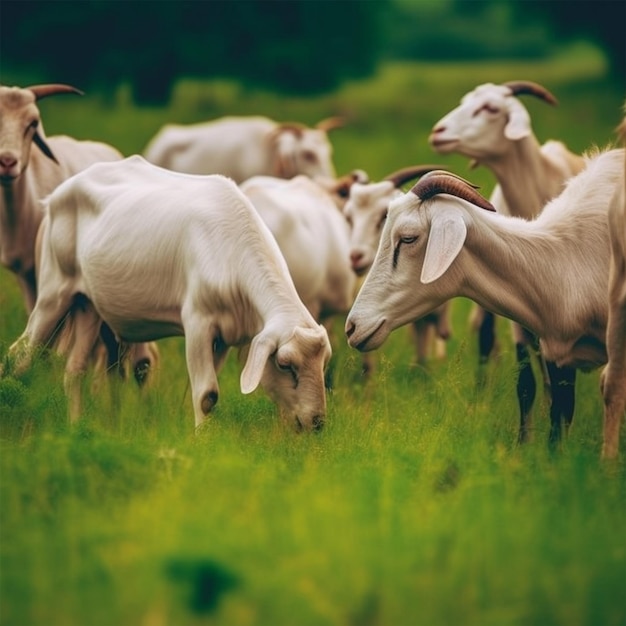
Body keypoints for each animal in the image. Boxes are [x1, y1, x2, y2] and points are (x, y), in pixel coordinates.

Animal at [2, 155, 332, 428]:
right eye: (285, 364)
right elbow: (207, 395)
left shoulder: (225, 337)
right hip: (53, 289)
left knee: (74, 369)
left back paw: (75, 426)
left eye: (325, 362)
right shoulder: (198, 322)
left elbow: (206, 395)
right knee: (20, 355)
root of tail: (53, 198)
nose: (317, 422)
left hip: (88, 306)